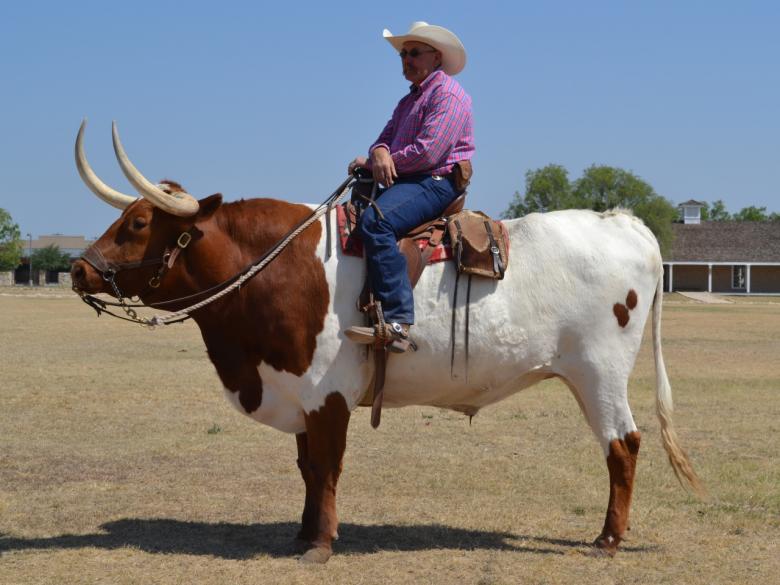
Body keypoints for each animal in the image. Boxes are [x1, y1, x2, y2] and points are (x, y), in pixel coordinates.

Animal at [71, 121, 703, 563]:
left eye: (137, 225)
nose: (78, 269)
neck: (275, 268)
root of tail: (623, 221)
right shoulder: (299, 392)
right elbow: (306, 466)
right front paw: (302, 533)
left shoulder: (328, 394)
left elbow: (326, 466)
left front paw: (321, 544)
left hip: (600, 373)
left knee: (623, 446)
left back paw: (608, 538)